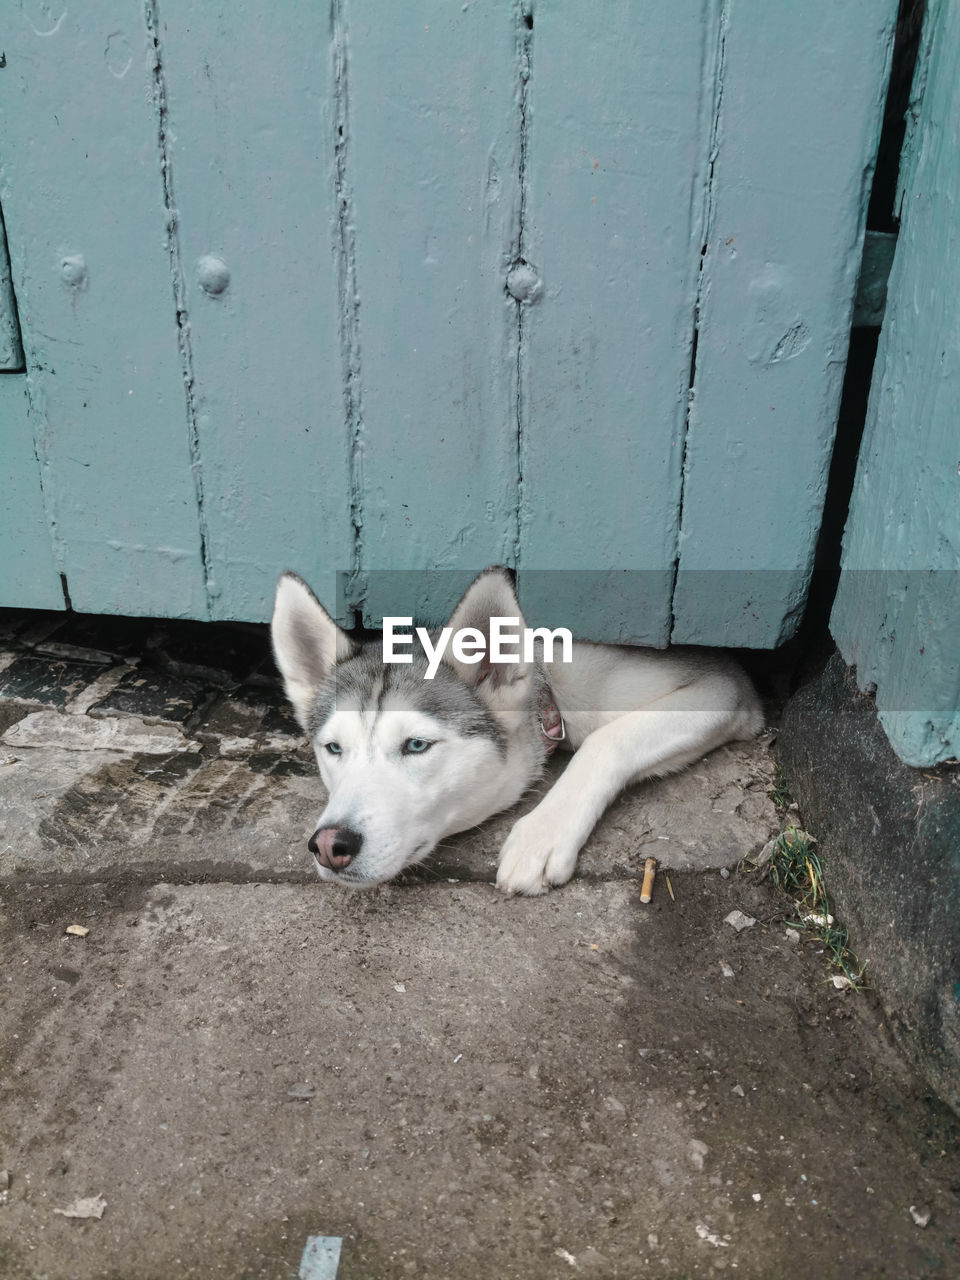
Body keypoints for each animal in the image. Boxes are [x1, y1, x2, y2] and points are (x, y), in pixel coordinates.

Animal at [272, 565, 768, 896]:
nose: (330, 844)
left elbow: (606, 739)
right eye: (334, 748)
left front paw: (543, 833)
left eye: (416, 745)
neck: (547, 678)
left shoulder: (725, 688)